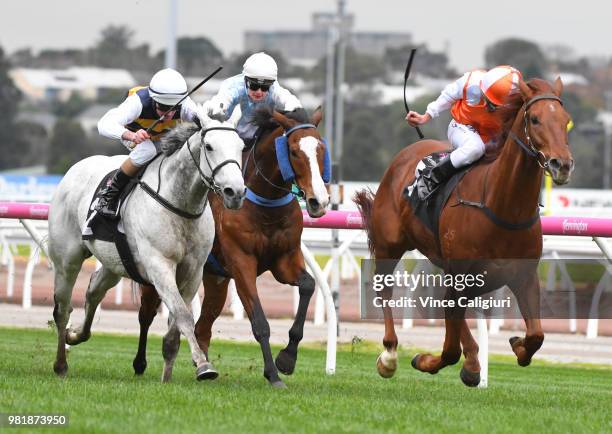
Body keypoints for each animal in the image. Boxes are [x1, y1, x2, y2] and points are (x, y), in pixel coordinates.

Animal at [48, 110, 246, 382]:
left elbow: (176, 327)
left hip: (113, 265)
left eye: (241, 147)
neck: (180, 205)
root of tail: (73, 170)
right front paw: (204, 365)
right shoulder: (159, 266)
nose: (235, 192)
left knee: (94, 291)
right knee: (62, 309)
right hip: (67, 259)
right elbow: (183, 315)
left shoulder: (193, 272)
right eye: (209, 146)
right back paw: (60, 364)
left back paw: (76, 334)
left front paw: (167, 378)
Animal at [131, 107, 328, 386]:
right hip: (156, 269)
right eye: (293, 151)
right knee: (146, 314)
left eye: (321, 148)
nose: (319, 201)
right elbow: (259, 321)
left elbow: (309, 285)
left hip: (215, 279)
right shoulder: (241, 263)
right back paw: (140, 363)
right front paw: (273, 373)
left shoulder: (285, 260)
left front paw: (287, 359)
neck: (266, 205)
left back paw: (202, 364)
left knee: (203, 325)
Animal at [354, 78, 572, 386]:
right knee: (384, 288)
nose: (562, 164)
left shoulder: (524, 276)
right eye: (535, 119)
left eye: (565, 121)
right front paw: (425, 361)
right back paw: (389, 355)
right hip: (390, 244)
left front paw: (516, 345)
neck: (503, 207)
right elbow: (449, 350)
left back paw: (471, 359)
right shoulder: (460, 275)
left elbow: (536, 336)